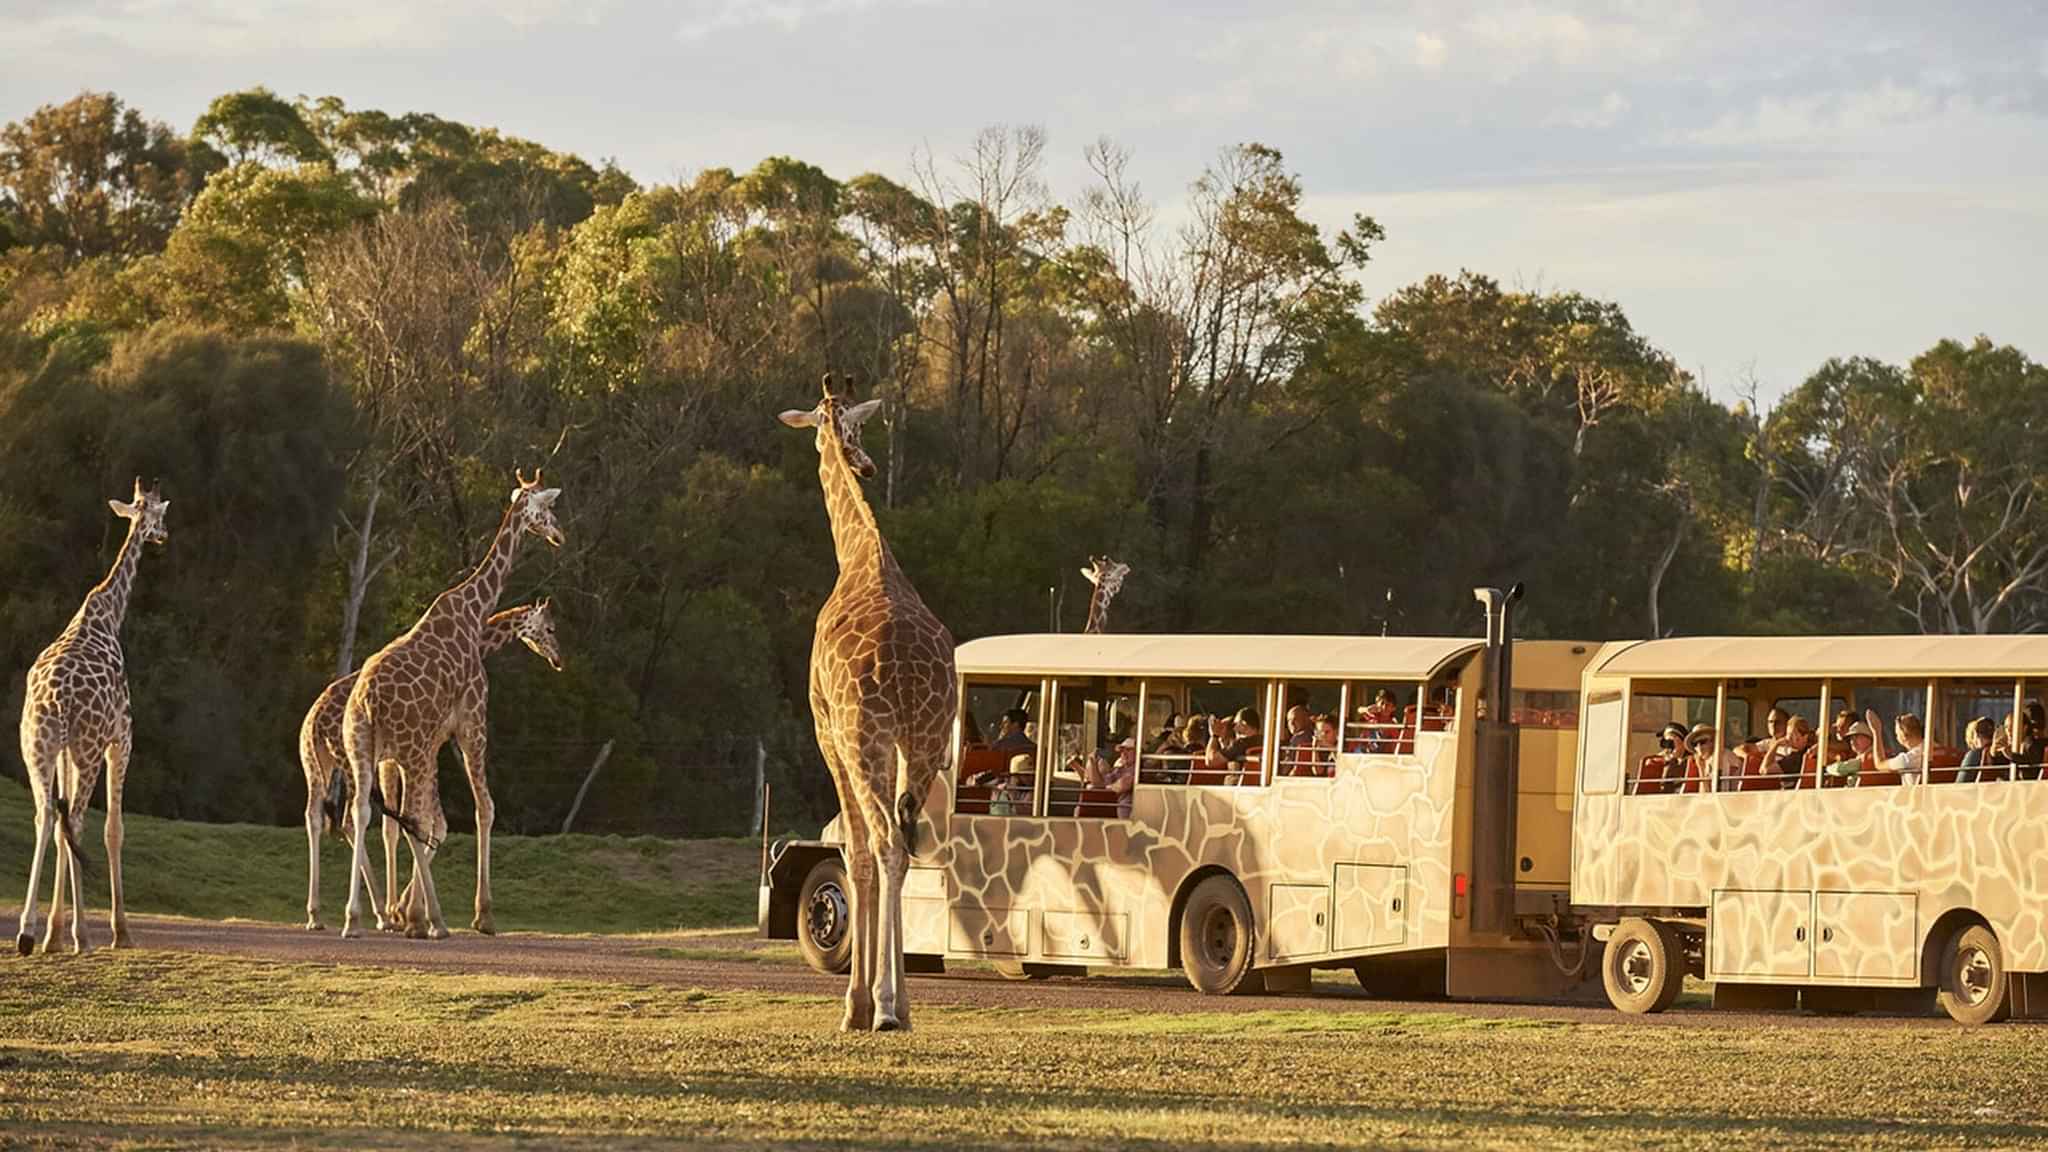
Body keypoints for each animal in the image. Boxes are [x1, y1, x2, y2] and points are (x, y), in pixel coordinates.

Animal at [14, 473, 167, 951]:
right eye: (160, 514)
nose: (163, 536)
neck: (109, 613)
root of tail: (57, 699)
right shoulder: (122, 736)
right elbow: (113, 830)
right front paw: (119, 932)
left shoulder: (64, 751)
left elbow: (61, 827)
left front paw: (54, 932)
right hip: (86, 748)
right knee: (76, 820)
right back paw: (81, 933)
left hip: (39, 746)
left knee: (46, 815)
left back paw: (29, 932)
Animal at [299, 594, 565, 926]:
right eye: (550, 628)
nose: (558, 660)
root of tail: (316, 722)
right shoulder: (425, 748)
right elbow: (430, 823)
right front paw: (405, 910)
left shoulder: (397, 758)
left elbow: (396, 826)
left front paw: (402, 908)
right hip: (350, 761)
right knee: (350, 818)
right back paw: (377, 911)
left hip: (315, 763)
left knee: (315, 817)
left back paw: (319, 913)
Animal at [335, 471, 561, 938]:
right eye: (549, 510)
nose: (560, 536)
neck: (473, 613)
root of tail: (367, 701)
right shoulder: (472, 721)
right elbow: (482, 809)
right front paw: (482, 915)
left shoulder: (433, 742)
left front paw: (405, 913)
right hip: (410, 750)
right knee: (410, 820)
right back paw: (432, 921)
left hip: (363, 748)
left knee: (364, 813)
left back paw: (357, 918)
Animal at [774, 377, 958, 1033]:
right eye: (854, 428)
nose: (869, 464)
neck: (861, 554)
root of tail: (901, 674)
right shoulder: (908, 746)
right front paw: (885, 1000)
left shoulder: (825, 729)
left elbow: (853, 854)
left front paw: (855, 1004)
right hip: (925, 741)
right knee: (905, 847)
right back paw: (898, 1005)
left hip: (864, 739)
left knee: (881, 842)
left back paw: (880, 1005)